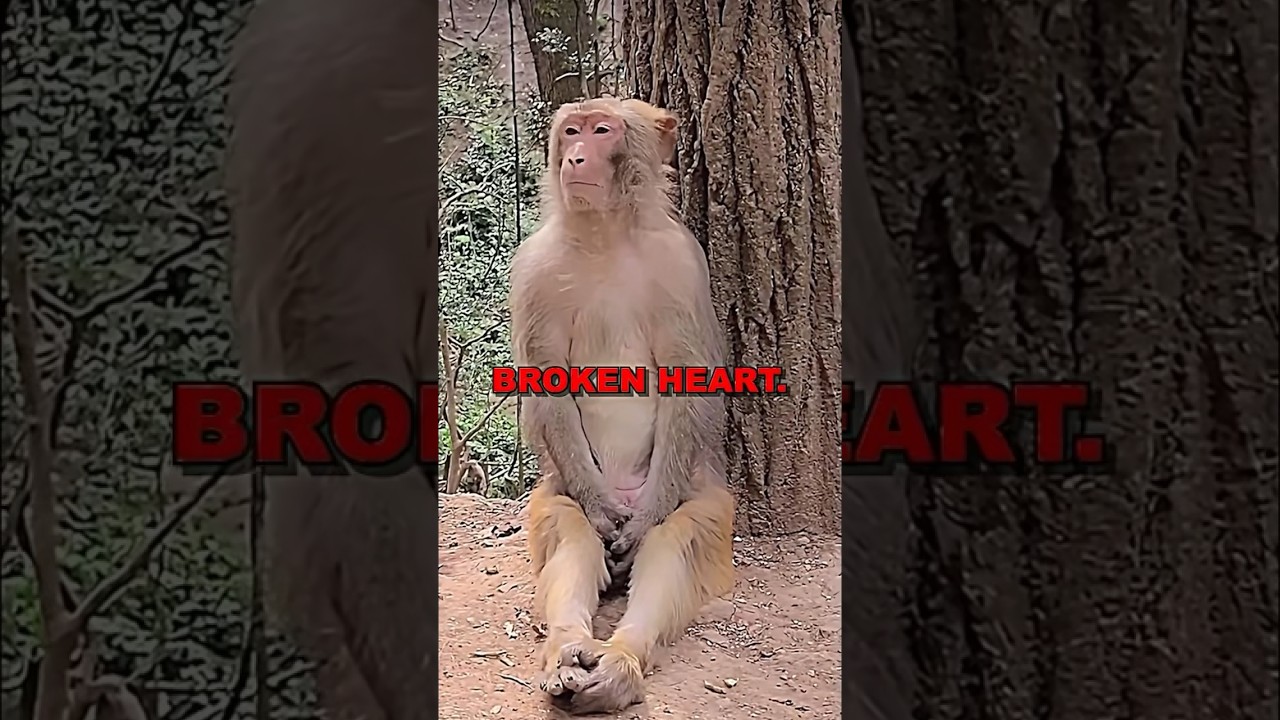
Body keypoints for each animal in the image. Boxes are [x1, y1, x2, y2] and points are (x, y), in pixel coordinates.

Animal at [509, 97, 736, 714]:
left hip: (689, 484)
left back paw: (621, 661)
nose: (577, 157)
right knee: (571, 530)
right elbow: (544, 384)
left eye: (602, 130)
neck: (605, 235)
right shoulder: (533, 268)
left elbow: (692, 379)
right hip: (564, 482)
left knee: (676, 537)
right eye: (572, 131)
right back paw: (568, 651)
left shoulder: (683, 261)